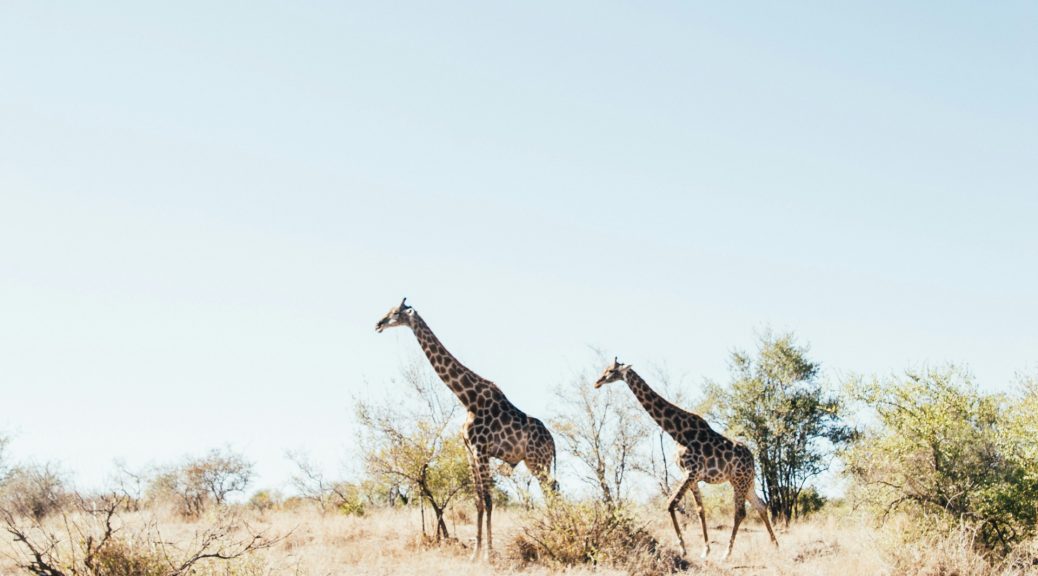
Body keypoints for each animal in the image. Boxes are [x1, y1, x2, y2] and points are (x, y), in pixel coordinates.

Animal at [593, 359, 780, 560]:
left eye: (611, 371)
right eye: (605, 369)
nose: (597, 382)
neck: (677, 431)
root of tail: (752, 459)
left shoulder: (691, 472)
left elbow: (671, 504)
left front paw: (683, 549)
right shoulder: (692, 477)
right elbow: (700, 511)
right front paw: (705, 551)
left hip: (739, 480)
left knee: (740, 512)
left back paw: (727, 553)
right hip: (746, 481)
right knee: (761, 506)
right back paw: (775, 545)